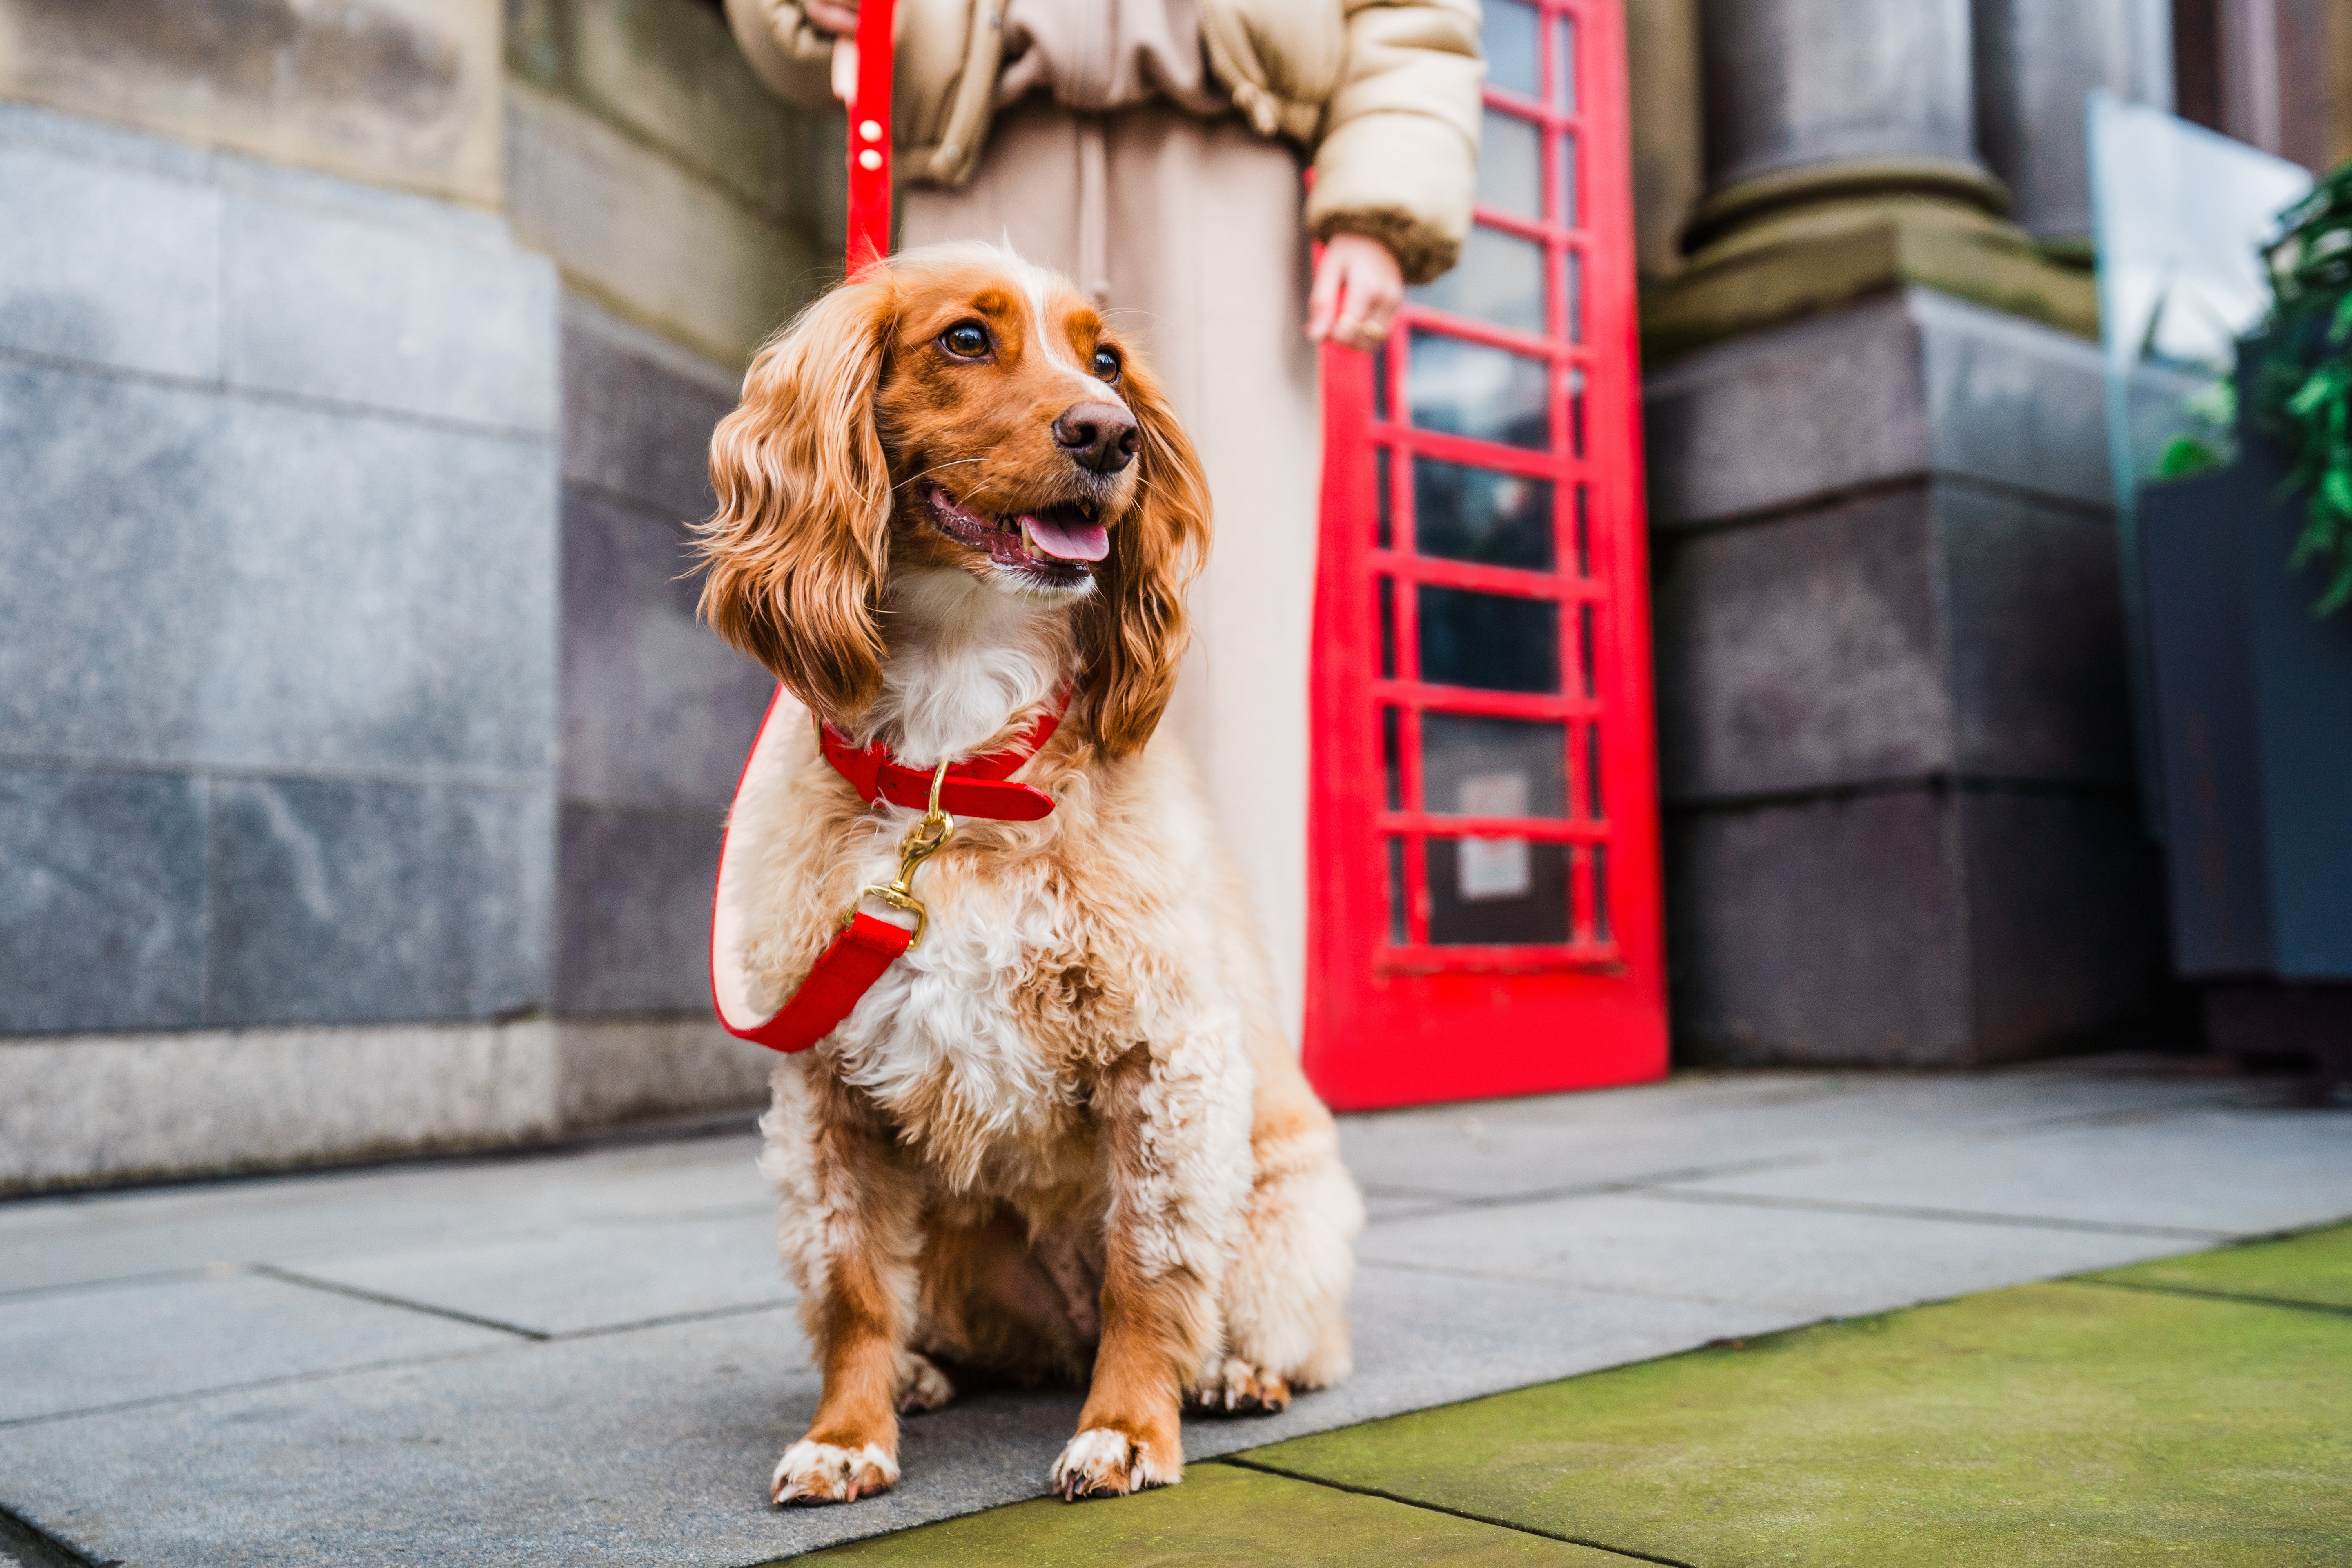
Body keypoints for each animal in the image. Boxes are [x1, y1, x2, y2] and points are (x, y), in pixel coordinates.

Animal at [691, 245, 1364, 1504]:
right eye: (964, 339)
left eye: (1107, 360)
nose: (1110, 435)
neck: (954, 766)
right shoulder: (823, 1084)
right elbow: (852, 1286)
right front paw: (848, 1433)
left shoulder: (1163, 1051)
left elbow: (1150, 1270)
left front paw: (1128, 1430)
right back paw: (922, 1374)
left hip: (1288, 1213)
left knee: (1281, 1329)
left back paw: (1231, 1372)